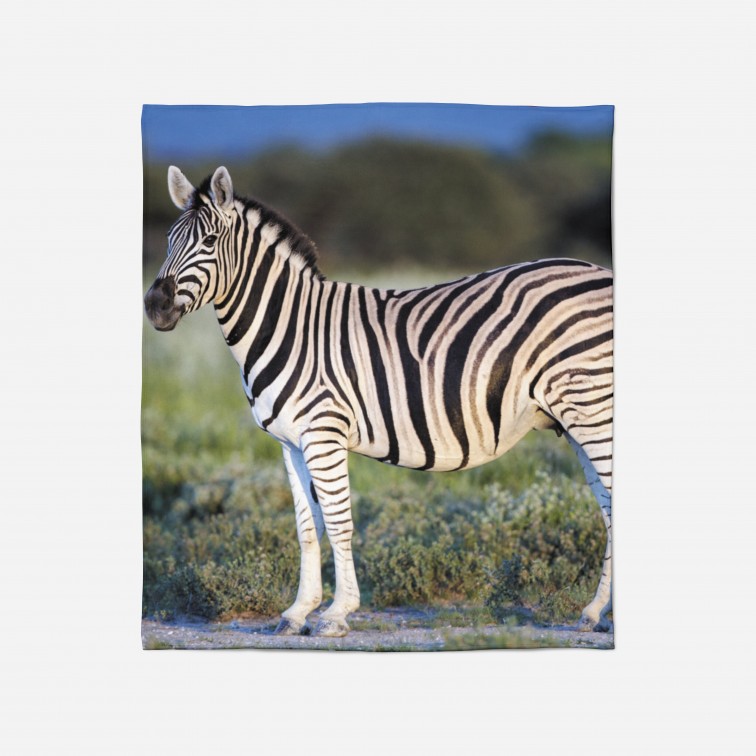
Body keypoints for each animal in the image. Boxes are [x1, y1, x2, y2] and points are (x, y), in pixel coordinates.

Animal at [144, 166, 614, 637]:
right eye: (168, 240)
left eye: (208, 242)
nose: (155, 306)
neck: (289, 325)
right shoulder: (290, 442)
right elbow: (307, 526)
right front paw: (298, 612)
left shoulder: (324, 431)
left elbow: (339, 522)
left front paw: (337, 612)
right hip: (579, 418)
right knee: (609, 508)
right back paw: (594, 612)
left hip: (592, 408)